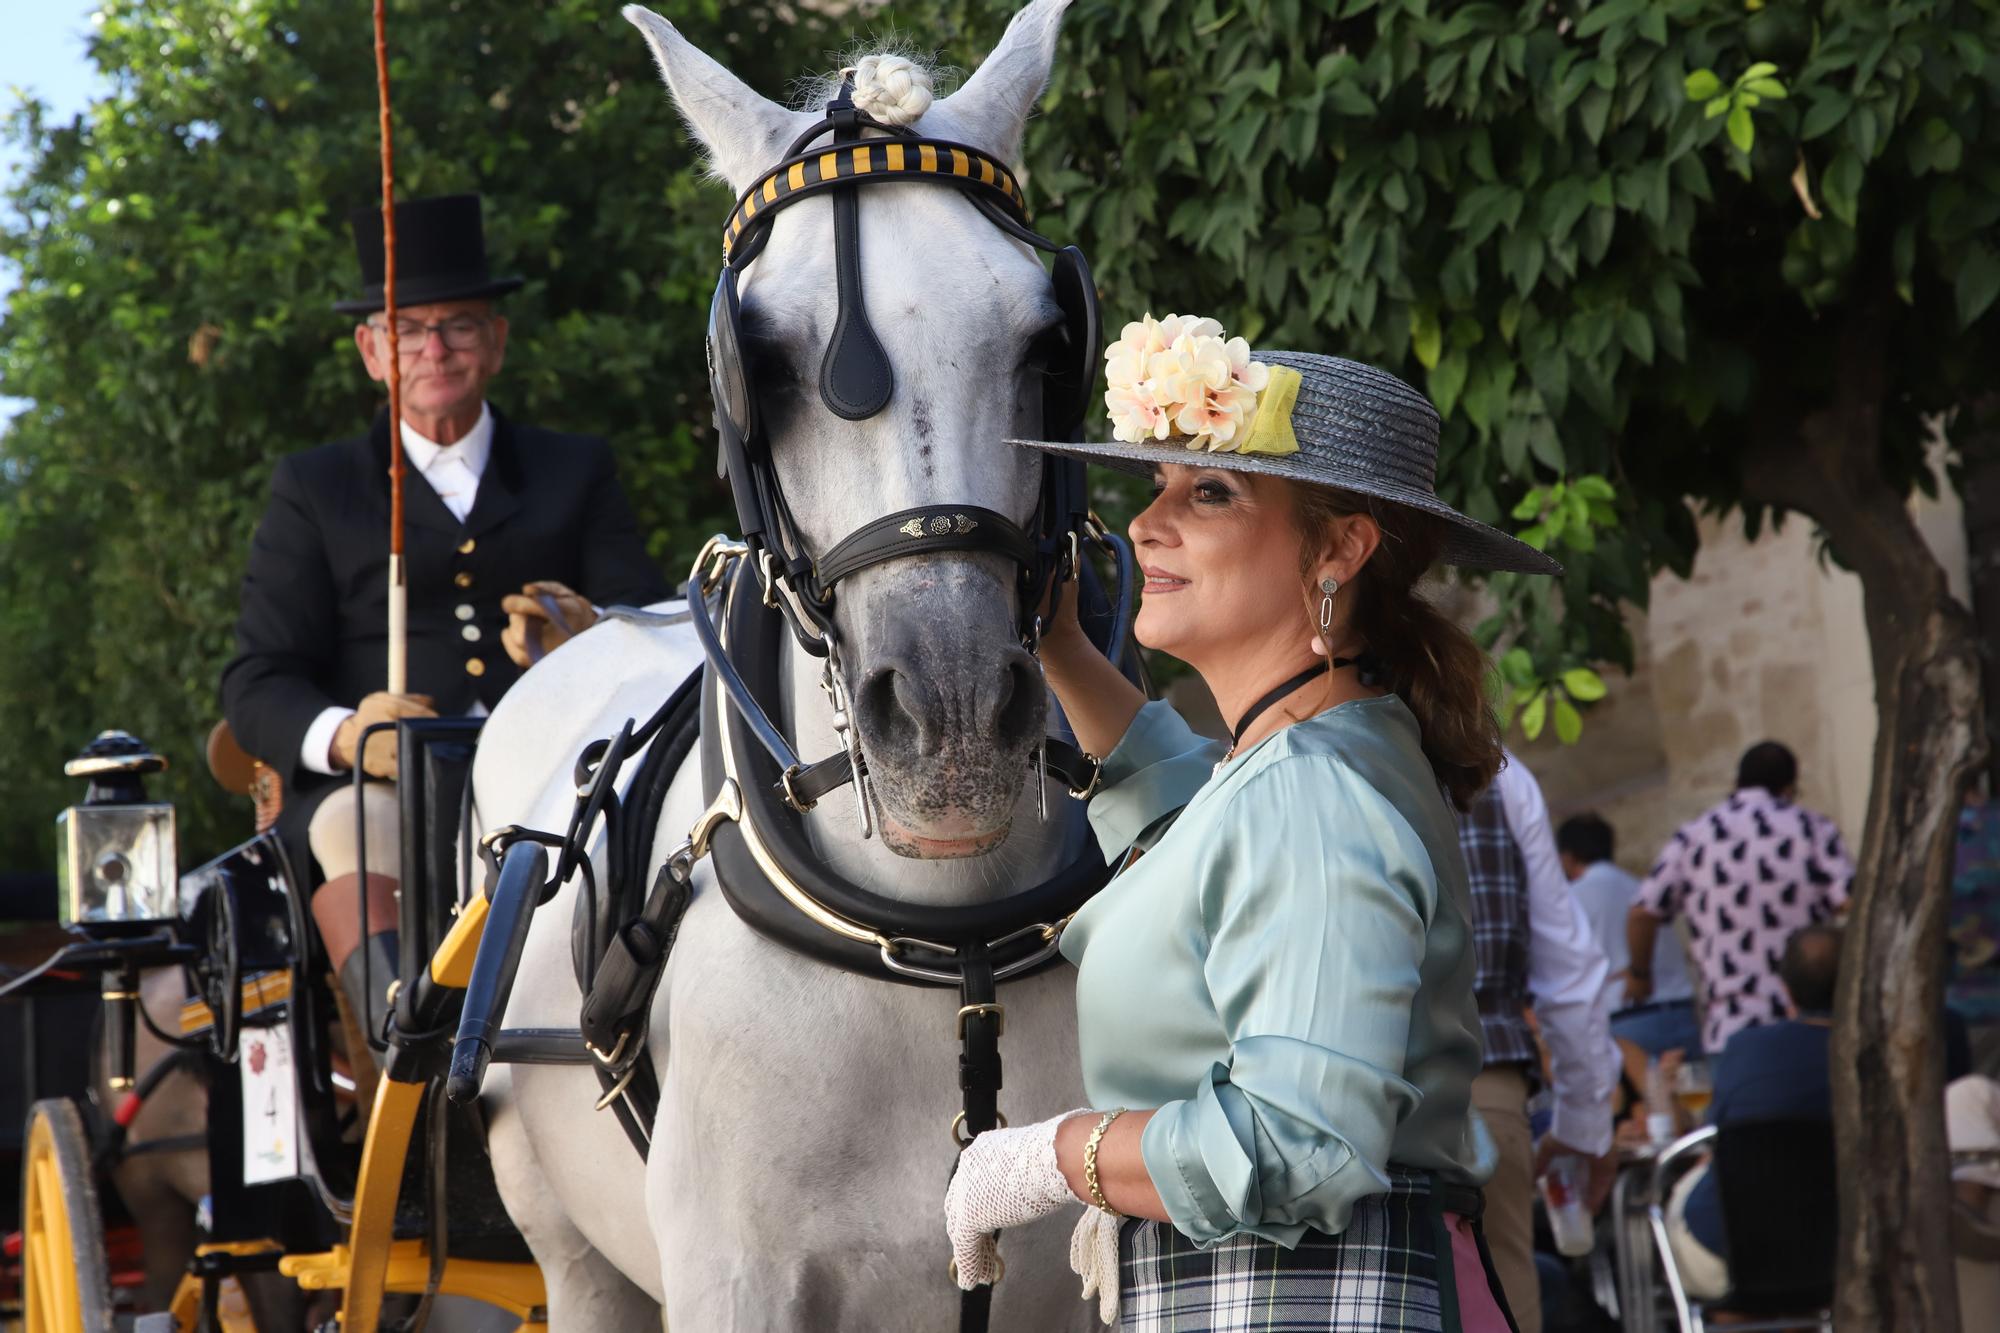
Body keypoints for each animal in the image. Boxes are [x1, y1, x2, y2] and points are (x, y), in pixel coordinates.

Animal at [472, 5, 1112, 1320]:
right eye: (754, 360)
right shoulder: (735, 1284)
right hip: (573, 1257)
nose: (951, 724)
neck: (949, 951)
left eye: (1045, 342)